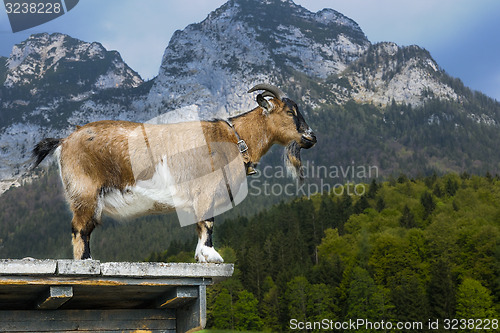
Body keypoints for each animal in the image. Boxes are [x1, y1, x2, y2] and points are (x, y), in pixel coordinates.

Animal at [32, 84, 316, 264]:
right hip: (84, 192)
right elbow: (208, 222)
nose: (311, 137)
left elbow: (200, 226)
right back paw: (87, 262)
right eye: (289, 112)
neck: (233, 139)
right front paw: (212, 255)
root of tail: (64, 141)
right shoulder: (206, 190)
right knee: (80, 229)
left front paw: (201, 255)